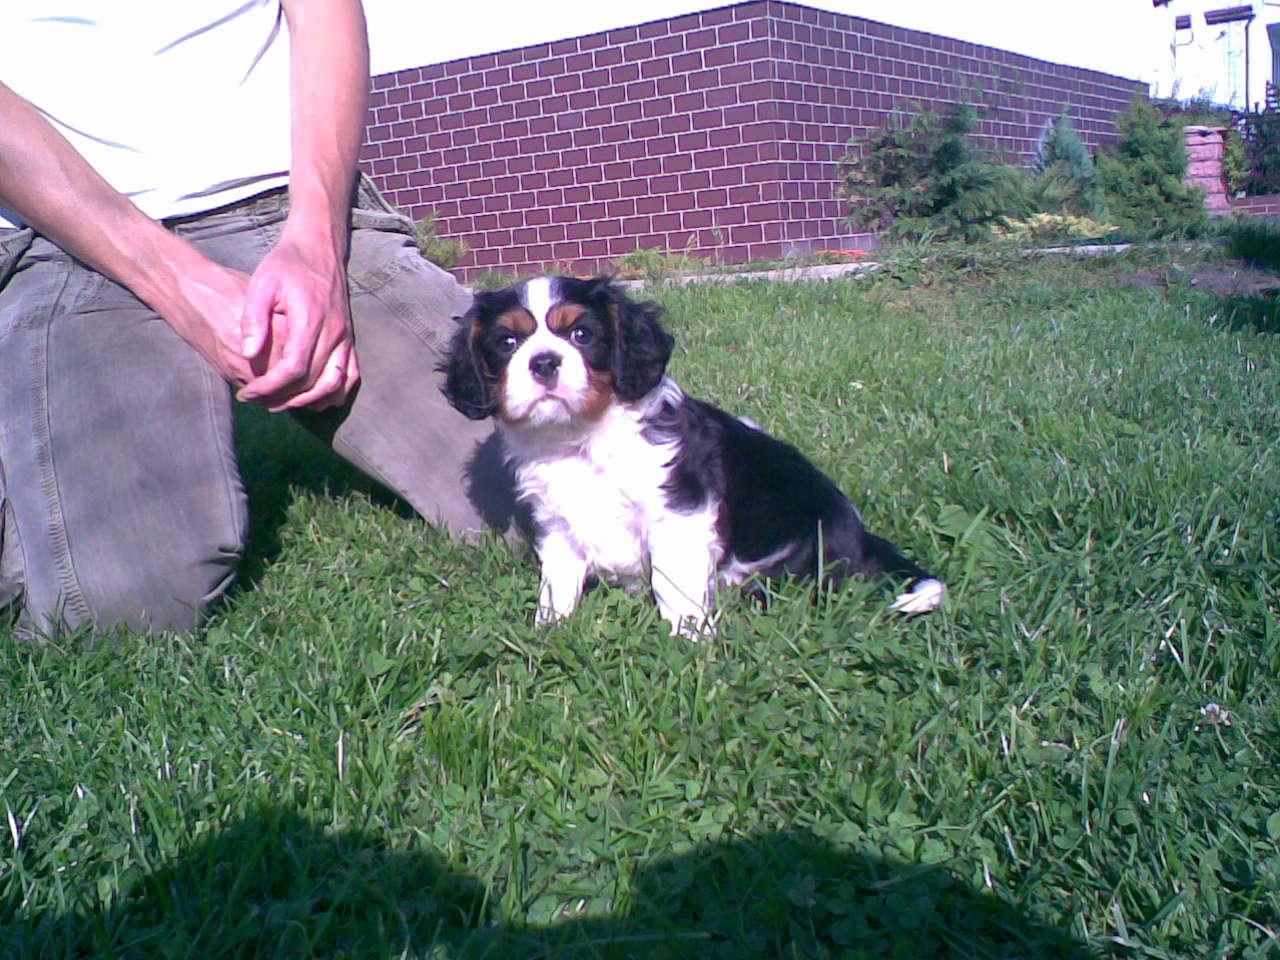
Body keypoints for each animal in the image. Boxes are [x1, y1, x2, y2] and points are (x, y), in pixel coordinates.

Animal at [440, 276, 942, 640]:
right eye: (507, 343)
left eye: (582, 334)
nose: (543, 361)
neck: (581, 439)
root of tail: (860, 536)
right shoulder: (559, 525)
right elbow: (558, 582)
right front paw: (549, 630)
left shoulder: (679, 514)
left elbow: (673, 583)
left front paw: (688, 639)